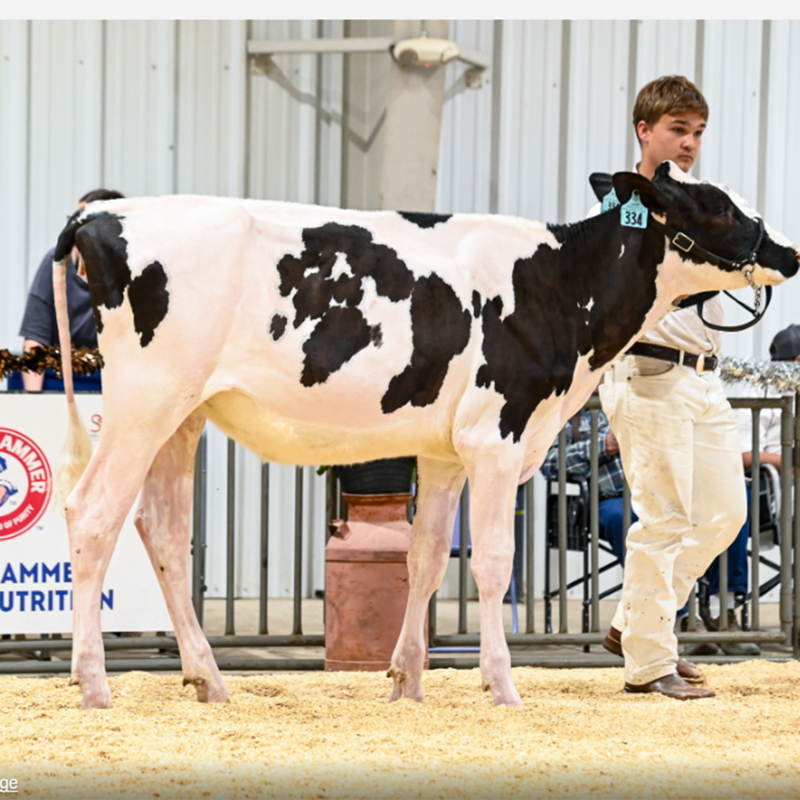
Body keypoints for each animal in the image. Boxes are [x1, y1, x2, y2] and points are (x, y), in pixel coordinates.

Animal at [53, 161, 798, 710]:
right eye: (717, 206)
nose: (788, 251)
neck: (558, 286)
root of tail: (101, 214)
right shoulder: (498, 438)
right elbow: (493, 563)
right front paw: (501, 685)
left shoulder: (446, 452)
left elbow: (428, 558)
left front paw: (406, 681)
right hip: (143, 404)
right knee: (92, 513)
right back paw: (92, 684)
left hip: (182, 417)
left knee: (163, 533)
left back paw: (207, 678)